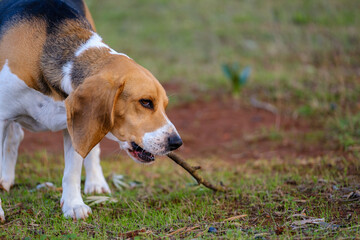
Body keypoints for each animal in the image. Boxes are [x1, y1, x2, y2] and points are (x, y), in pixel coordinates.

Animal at [0, 0, 181, 221]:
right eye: (145, 102)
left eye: (164, 105)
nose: (176, 142)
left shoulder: (73, 127)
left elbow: (72, 171)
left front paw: (73, 205)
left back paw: (96, 182)